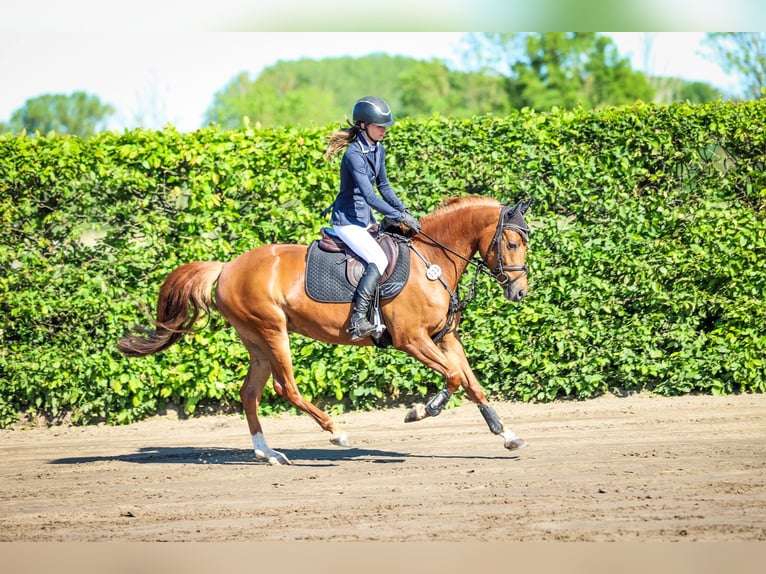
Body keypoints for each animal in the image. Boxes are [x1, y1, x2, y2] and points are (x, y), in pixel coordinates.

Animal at [117, 196, 536, 466]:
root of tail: (226, 267)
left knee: (250, 392)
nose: (519, 292)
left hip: (256, 340)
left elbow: (471, 382)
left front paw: (506, 434)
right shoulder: (412, 340)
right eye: (512, 242)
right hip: (273, 332)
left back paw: (267, 453)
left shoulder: (445, 337)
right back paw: (336, 433)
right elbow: (452, 377)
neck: (430, 261)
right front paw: (422, 410)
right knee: (286, 388)